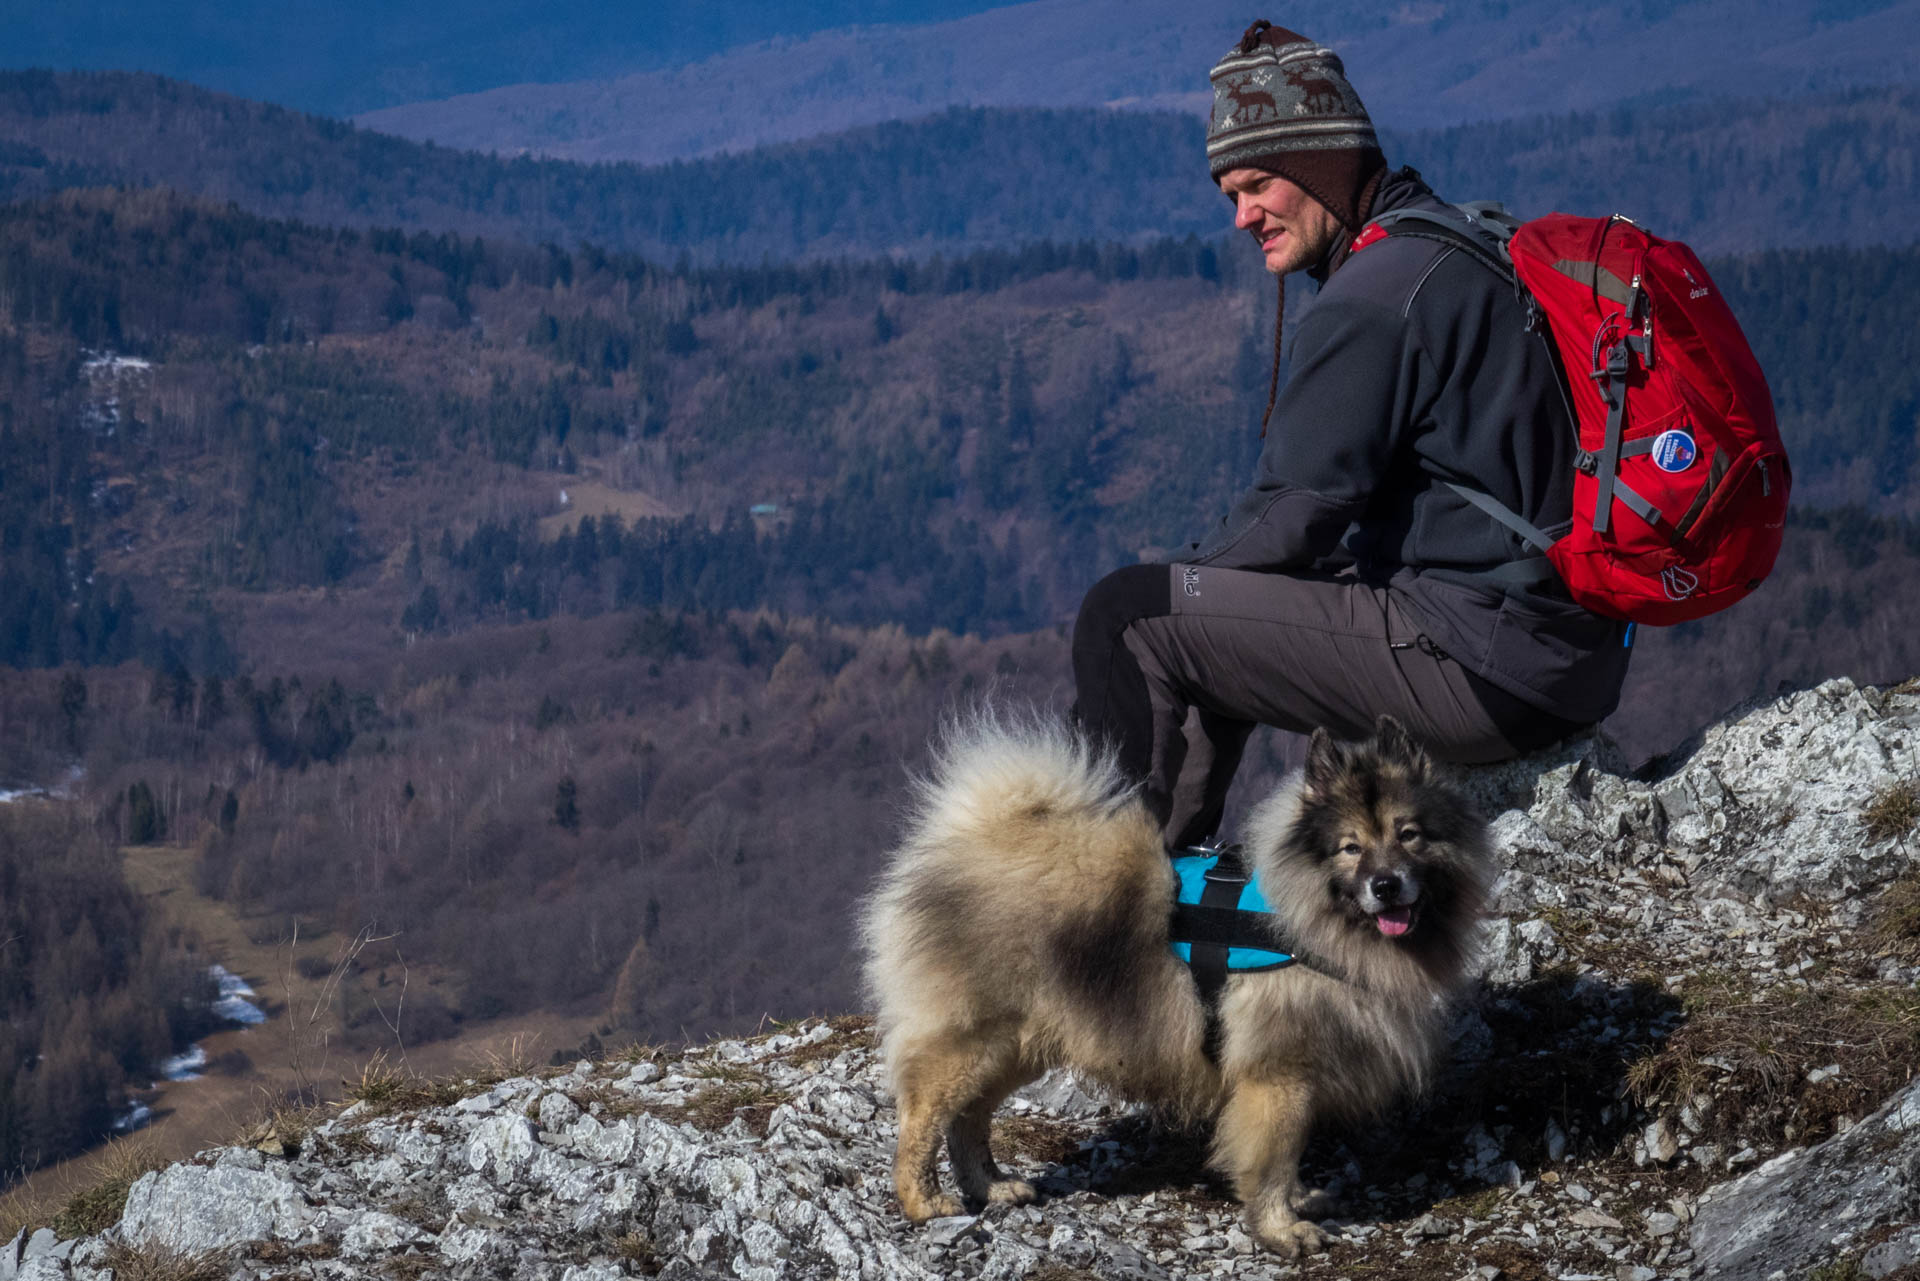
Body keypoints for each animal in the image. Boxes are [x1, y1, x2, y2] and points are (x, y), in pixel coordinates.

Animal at [864, 718, 1489, 1259]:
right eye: (1350, 847)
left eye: (1409, 836)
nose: (1386, 886)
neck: (1307, 918)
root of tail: (972, 838)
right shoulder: (1279, 1076)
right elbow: (1273, 1158)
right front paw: (1282, 1229)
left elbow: (1287, 1158)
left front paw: (1298, 1201)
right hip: (973, 1040)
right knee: (924, 1116)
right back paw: (925, 1201)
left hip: (1017, 1046)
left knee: (968, 1118)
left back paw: (991, 1186)